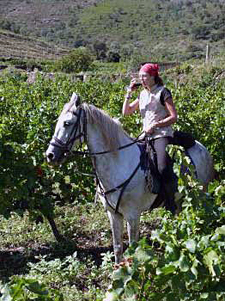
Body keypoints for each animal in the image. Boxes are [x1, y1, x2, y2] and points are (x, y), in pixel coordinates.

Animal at [45, 92, 214, 262]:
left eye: (67, 123)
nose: (50, 155)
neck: (118, 162)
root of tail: (202, 148)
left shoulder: (133, 215)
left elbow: (133, 248)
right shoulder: (113, 214)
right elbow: (117, 247)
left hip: (200, 195)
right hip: (180, 200)